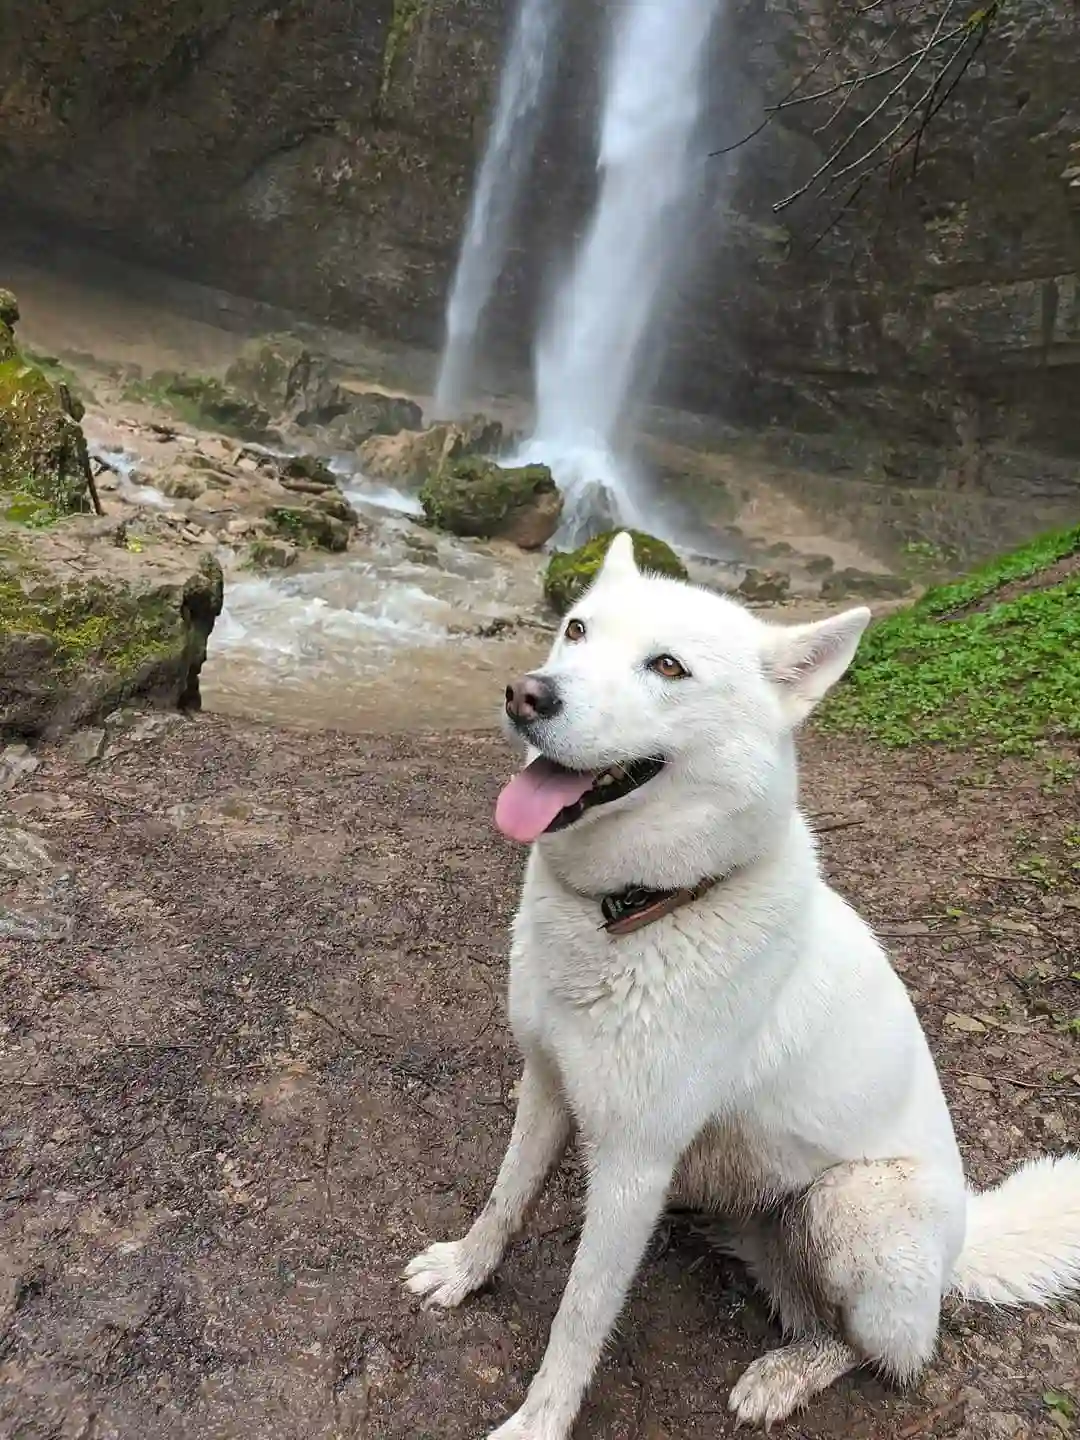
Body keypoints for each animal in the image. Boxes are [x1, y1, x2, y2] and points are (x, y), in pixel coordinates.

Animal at [406, 535, 1080, 1434]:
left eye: (667, 666)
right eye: (576, 630)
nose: (527, 694)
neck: (641, 910)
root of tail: (965, 1240)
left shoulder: (633, 1164)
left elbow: (580, 1314)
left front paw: (539, 1422)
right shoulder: (546, 1083)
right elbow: (503, 1198)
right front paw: (464, 1271)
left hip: (851, 1204)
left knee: (884, 1349)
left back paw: (786, 1375)